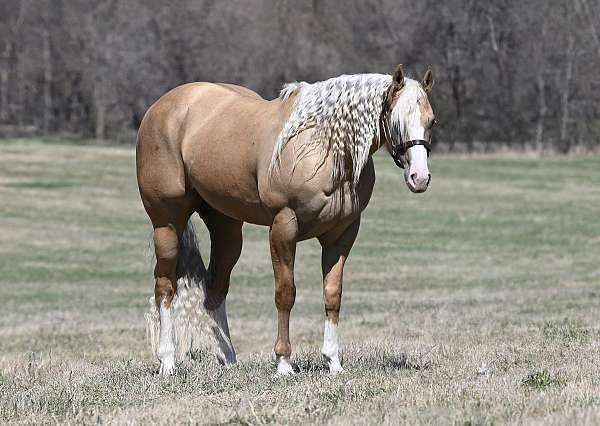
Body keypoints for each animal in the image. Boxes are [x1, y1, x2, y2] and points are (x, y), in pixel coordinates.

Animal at [136, 64, 436, 376]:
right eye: (396, 119)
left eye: (432, 121)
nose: (420, 177)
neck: (324, 149)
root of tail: (162, 107)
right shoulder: (283, 228)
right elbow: (285, 293)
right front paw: (283, 363)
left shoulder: (342, 234)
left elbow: (333, 294)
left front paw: (333, 361)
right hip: (167, 223)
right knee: (165, 286)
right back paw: (167, 361)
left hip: (226, 228)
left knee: (216, 288)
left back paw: (228, 358)